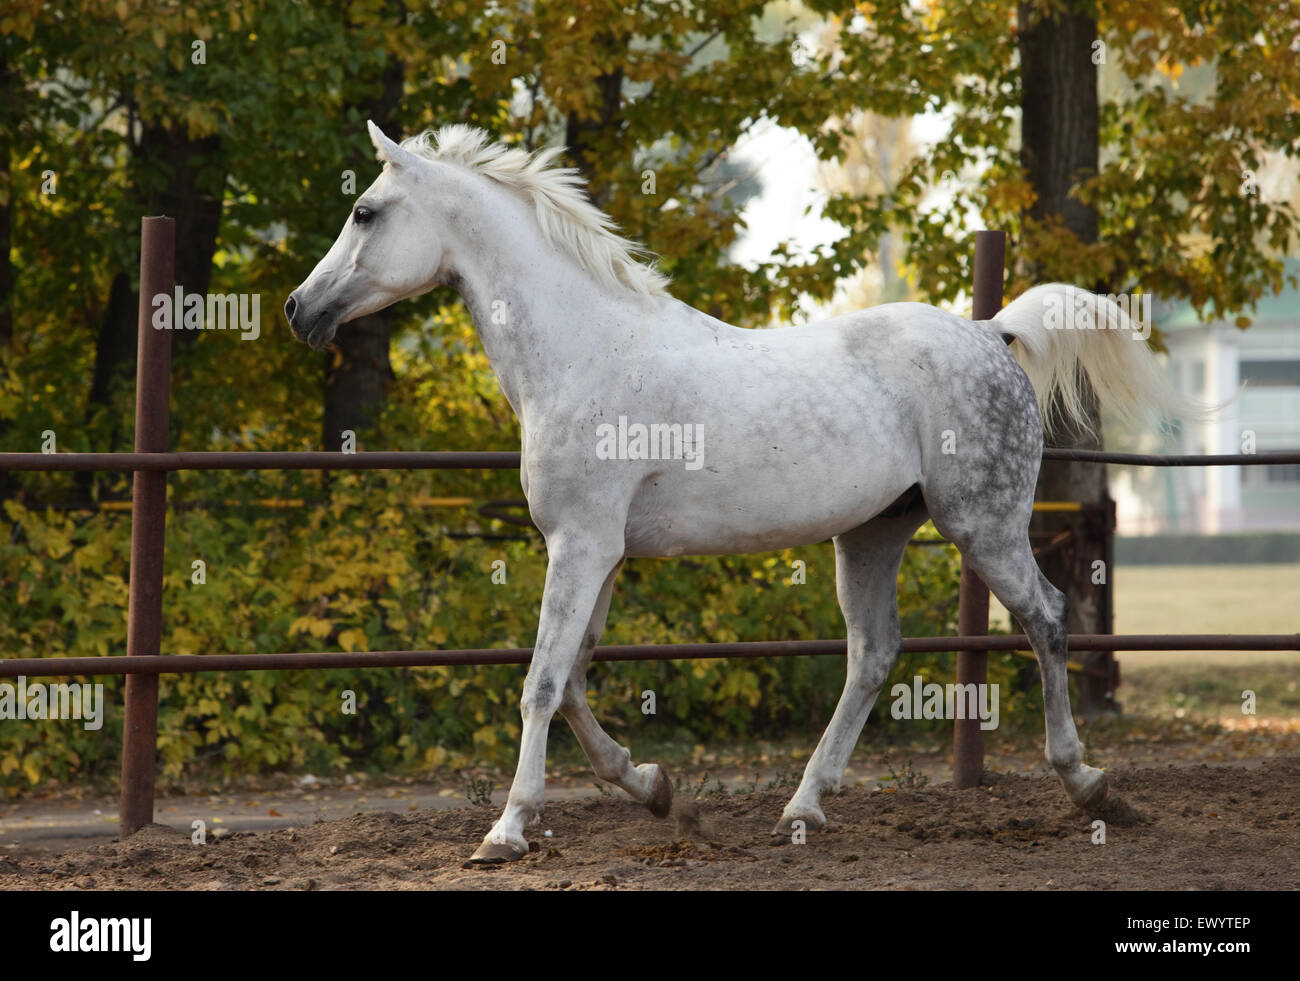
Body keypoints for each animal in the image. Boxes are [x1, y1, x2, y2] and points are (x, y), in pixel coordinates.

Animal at [289, 118, 1185, 862]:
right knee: (873, 654)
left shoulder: (580, 545)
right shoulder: (599, 552)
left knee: (1047, 617)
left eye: (365, 211)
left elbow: (541, 682)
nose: (300, 309)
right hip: (874, 532)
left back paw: (1088, 783)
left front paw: (506, 830)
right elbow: (573, 680)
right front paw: (659, 791)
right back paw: (801, 809)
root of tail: (989, 332)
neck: (582, 350)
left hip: (983, 525)